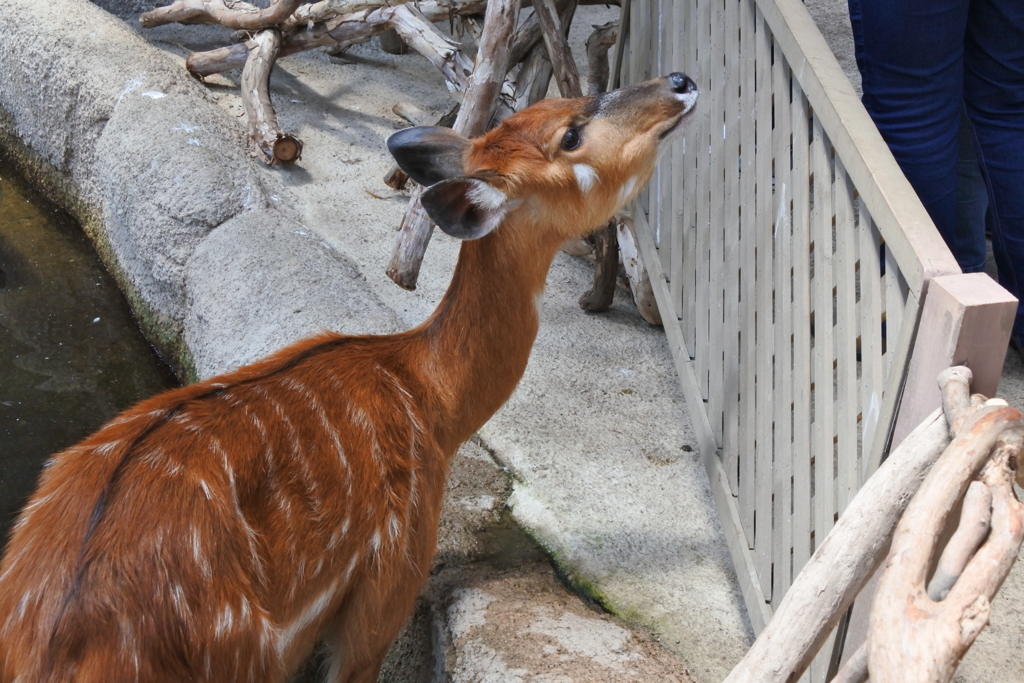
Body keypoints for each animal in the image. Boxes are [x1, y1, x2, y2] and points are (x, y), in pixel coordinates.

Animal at [0, 73, 696, 683]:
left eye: (563, 106)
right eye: (571, 134)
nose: (681, 82)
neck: (433, 400)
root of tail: (52, 649)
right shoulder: (387, 586)